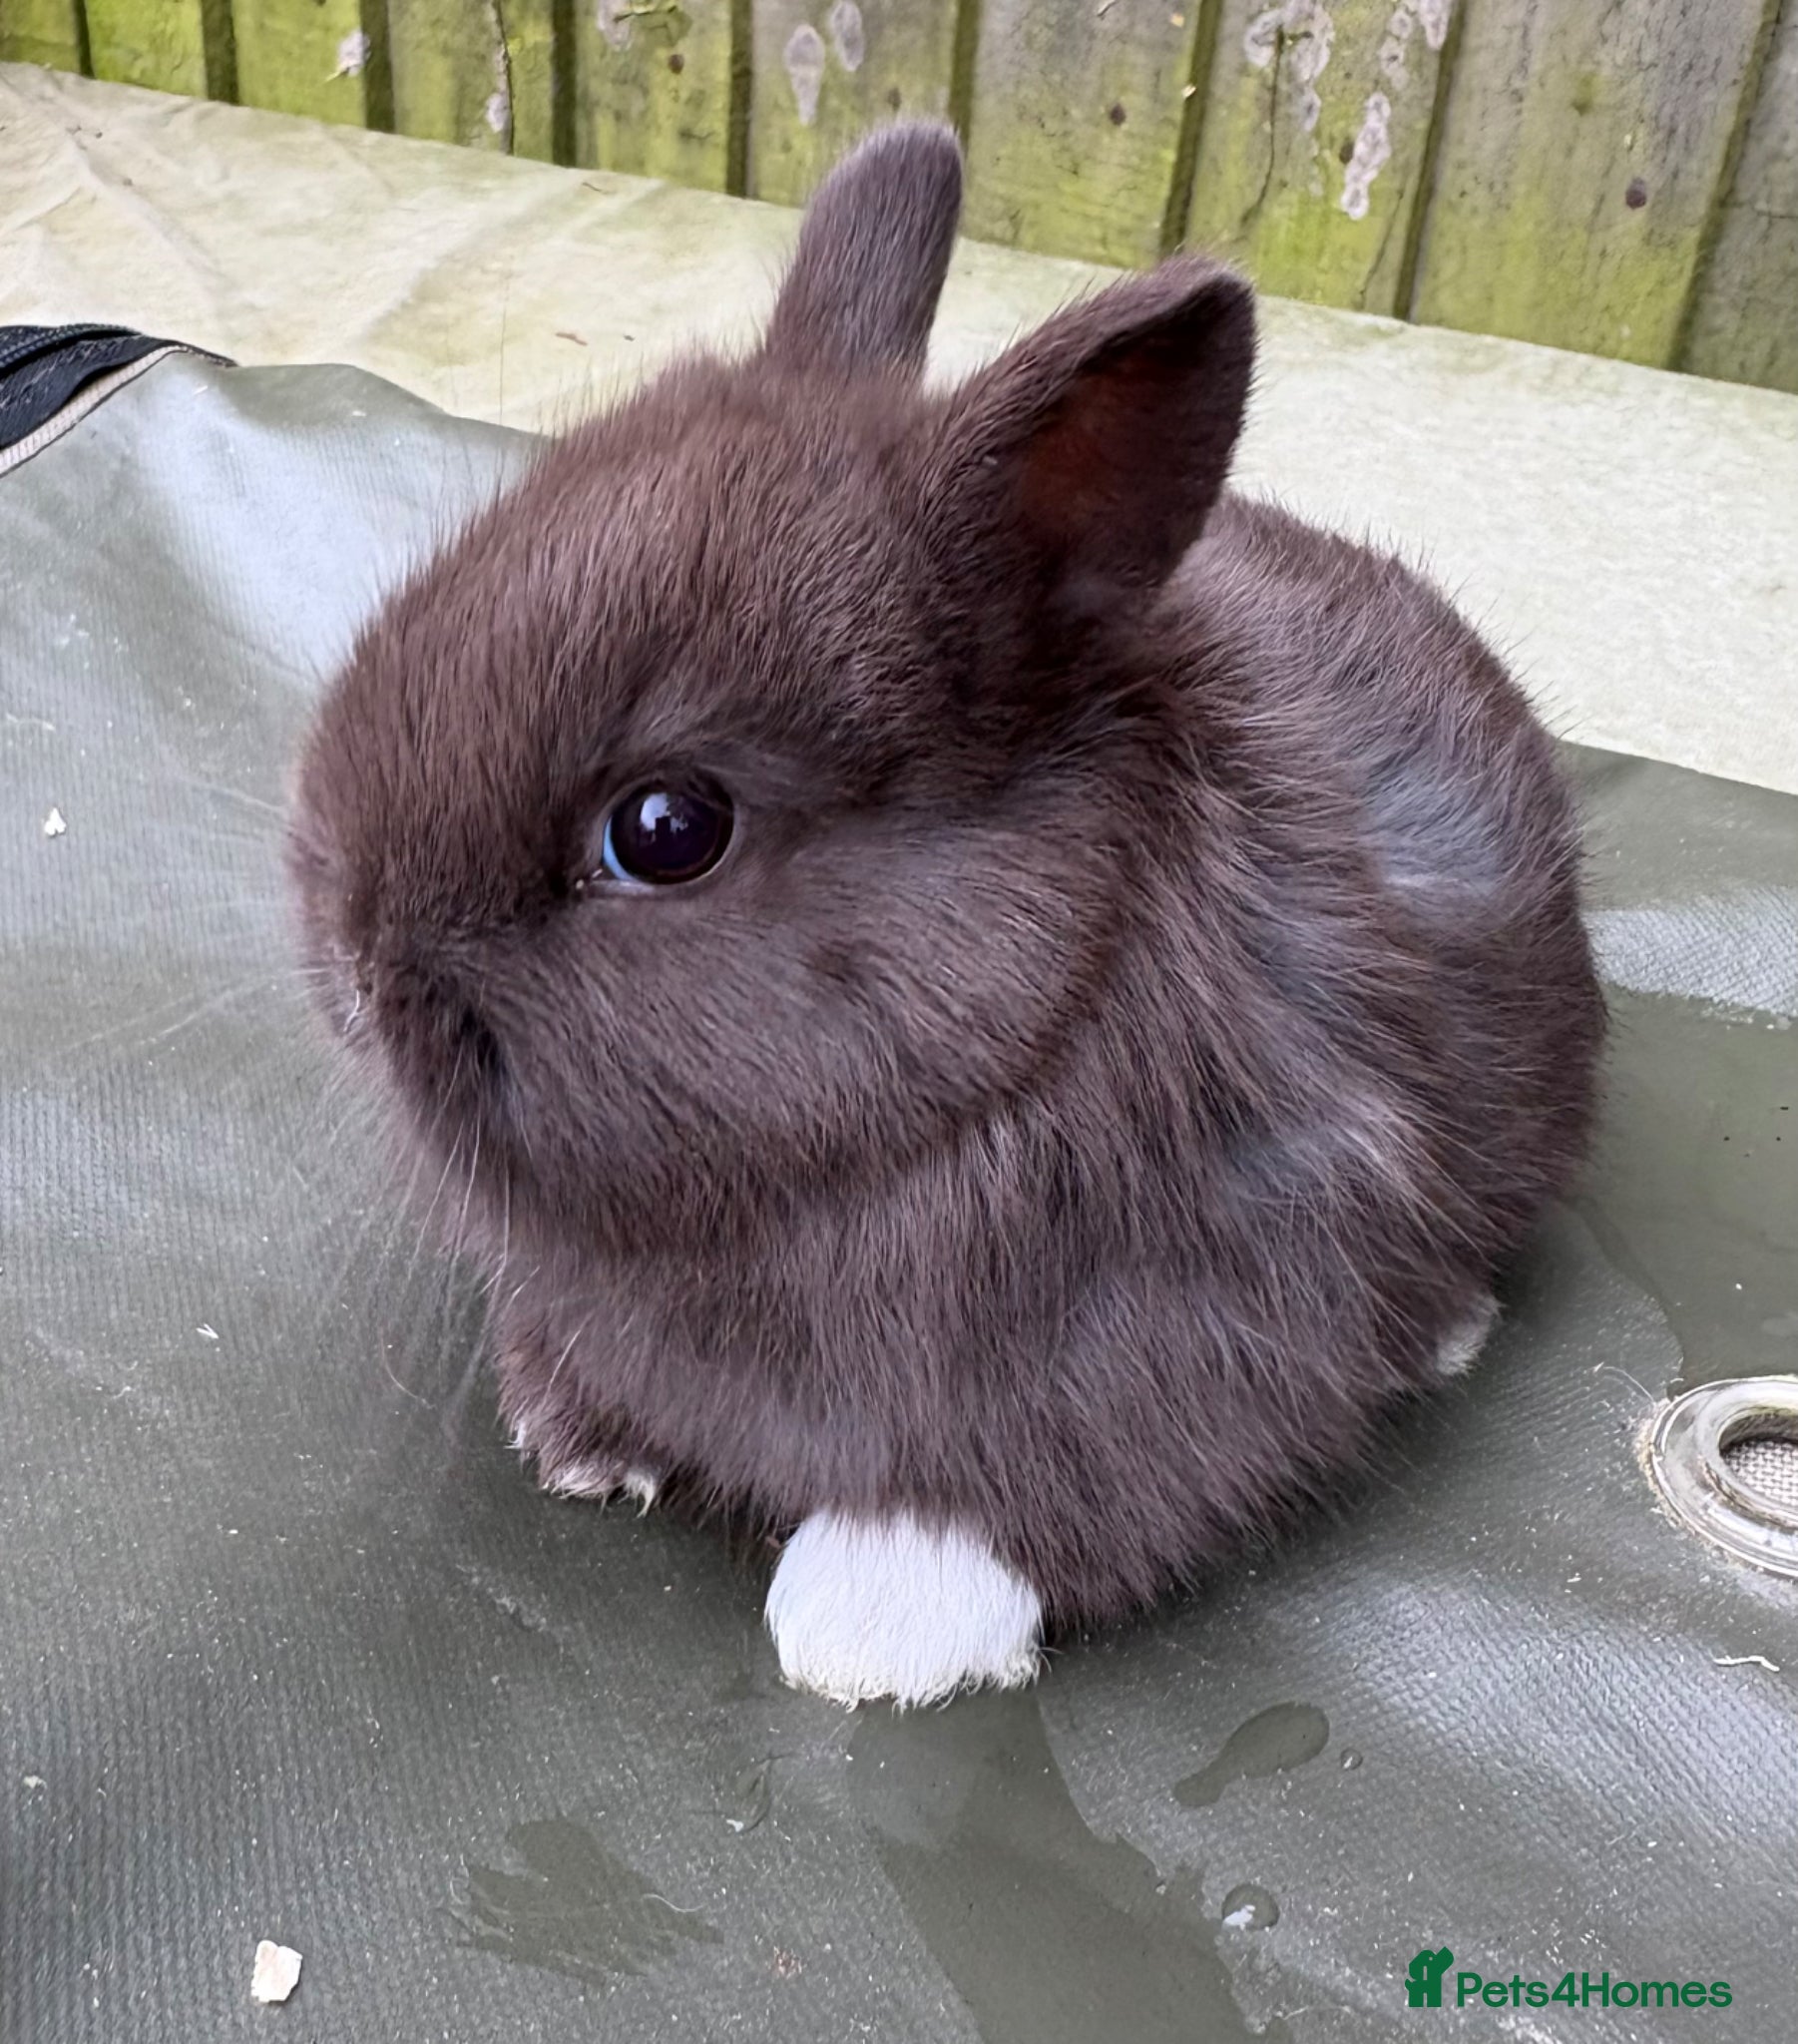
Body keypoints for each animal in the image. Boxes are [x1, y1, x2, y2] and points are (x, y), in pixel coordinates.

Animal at [286, 120, 1605, 1707]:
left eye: (666, 832)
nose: (350, 966)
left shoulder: (1195, 1324)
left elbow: (1016, 1510)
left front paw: (866, 1628)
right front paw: (574, 1438)